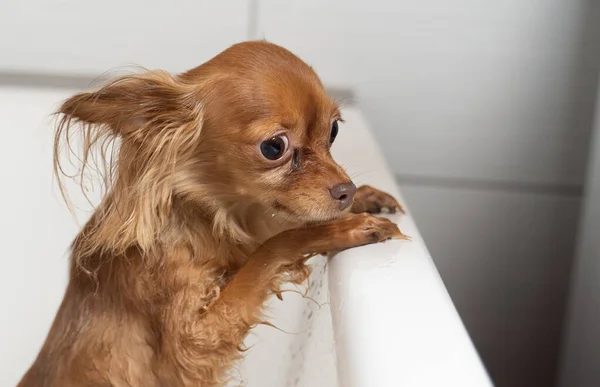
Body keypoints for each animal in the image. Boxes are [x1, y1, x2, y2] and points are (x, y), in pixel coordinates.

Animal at [18, 41, 408, 386]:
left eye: (334, 130)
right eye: (274, 147)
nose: (347, 190)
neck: (208, 218)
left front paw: (367, 199)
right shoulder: (195, 343)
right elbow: (273, 249)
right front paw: (343, 228)